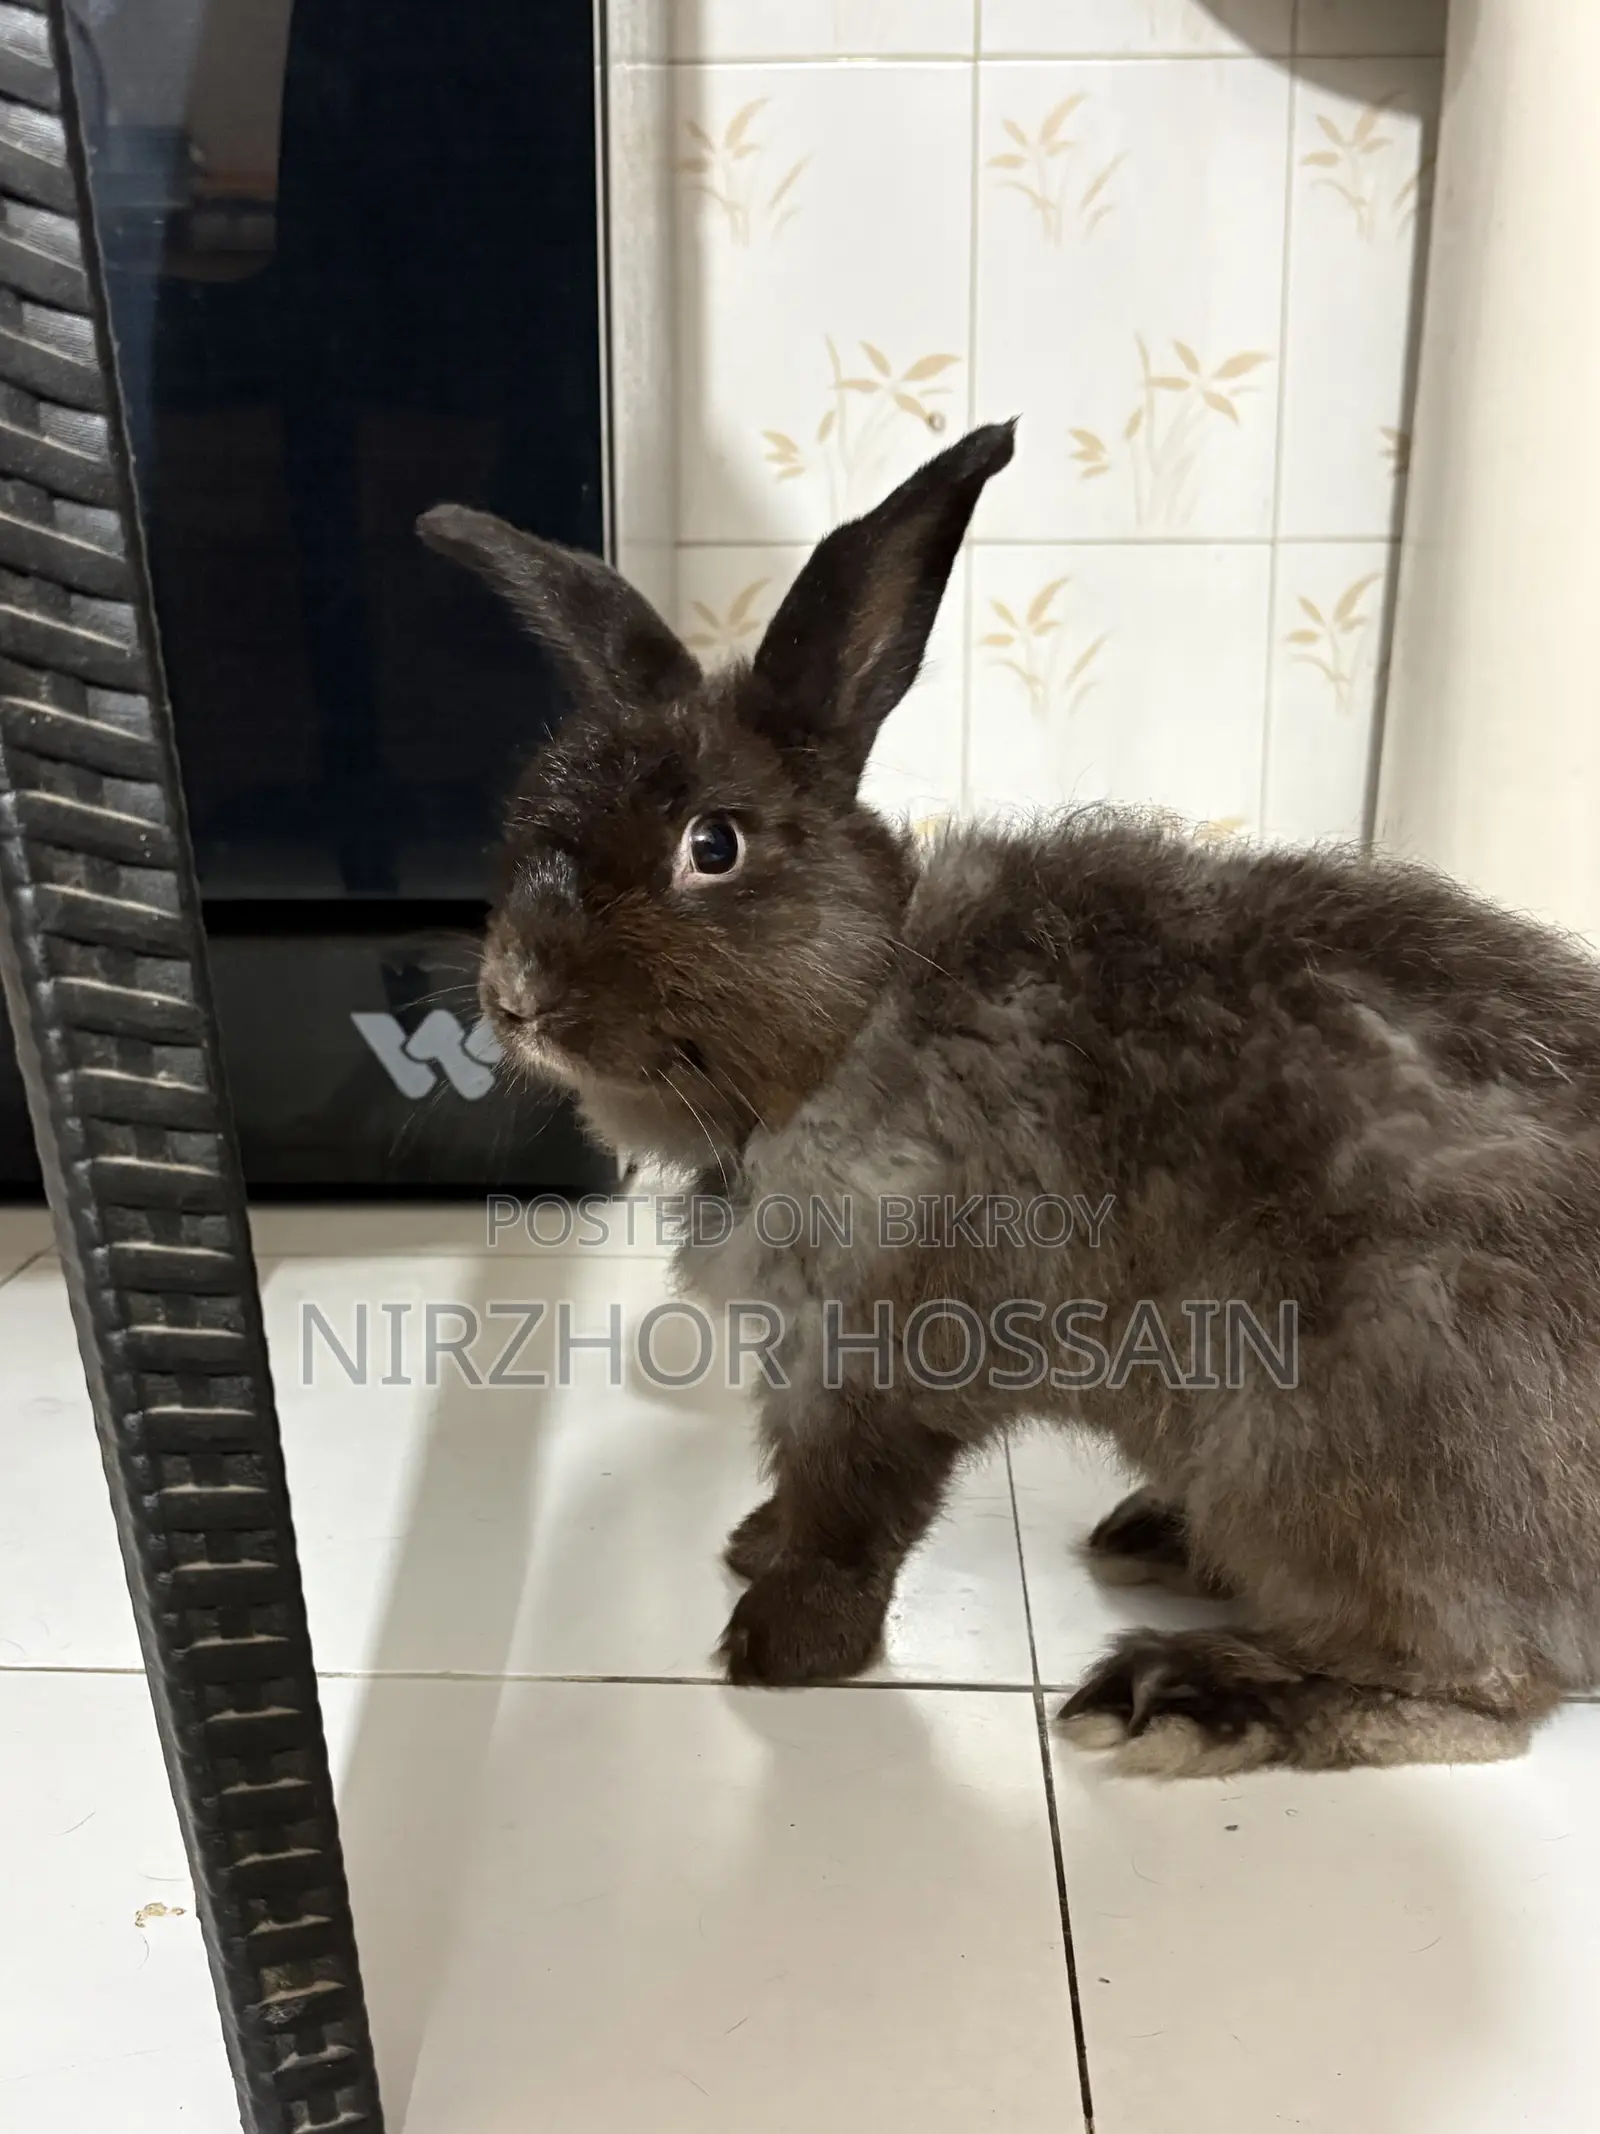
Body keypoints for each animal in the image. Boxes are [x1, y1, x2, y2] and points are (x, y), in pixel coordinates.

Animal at [418, 420, 1600, 1777]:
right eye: (529, 818)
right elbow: (800, 1490)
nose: (514, 993)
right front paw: (752, 1544)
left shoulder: (878, 1367)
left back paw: (1187, 1695)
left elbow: (853, 1515)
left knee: (1484, 1689)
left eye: (711, 845)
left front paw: (781, 1643)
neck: (855, 1026)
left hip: (1334, 1448)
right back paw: (1160, 1545)